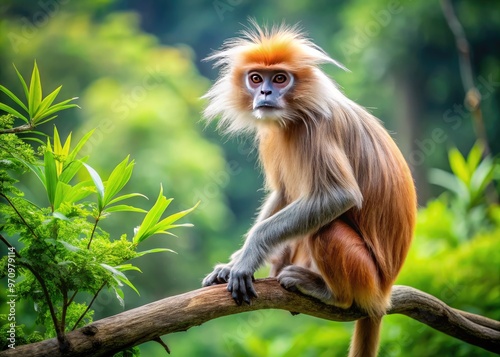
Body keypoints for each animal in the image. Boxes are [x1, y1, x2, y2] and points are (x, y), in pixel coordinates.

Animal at [201, 22, 416, 356]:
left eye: (280, 78)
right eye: (255, 78)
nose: (265, 92)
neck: (293, 116)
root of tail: (383, 294)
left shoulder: (317, 128)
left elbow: (339, 196)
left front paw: (247, 257)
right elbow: (284, 193)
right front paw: (234, 261)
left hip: (366, 277)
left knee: (326, 229)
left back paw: (330, 294)